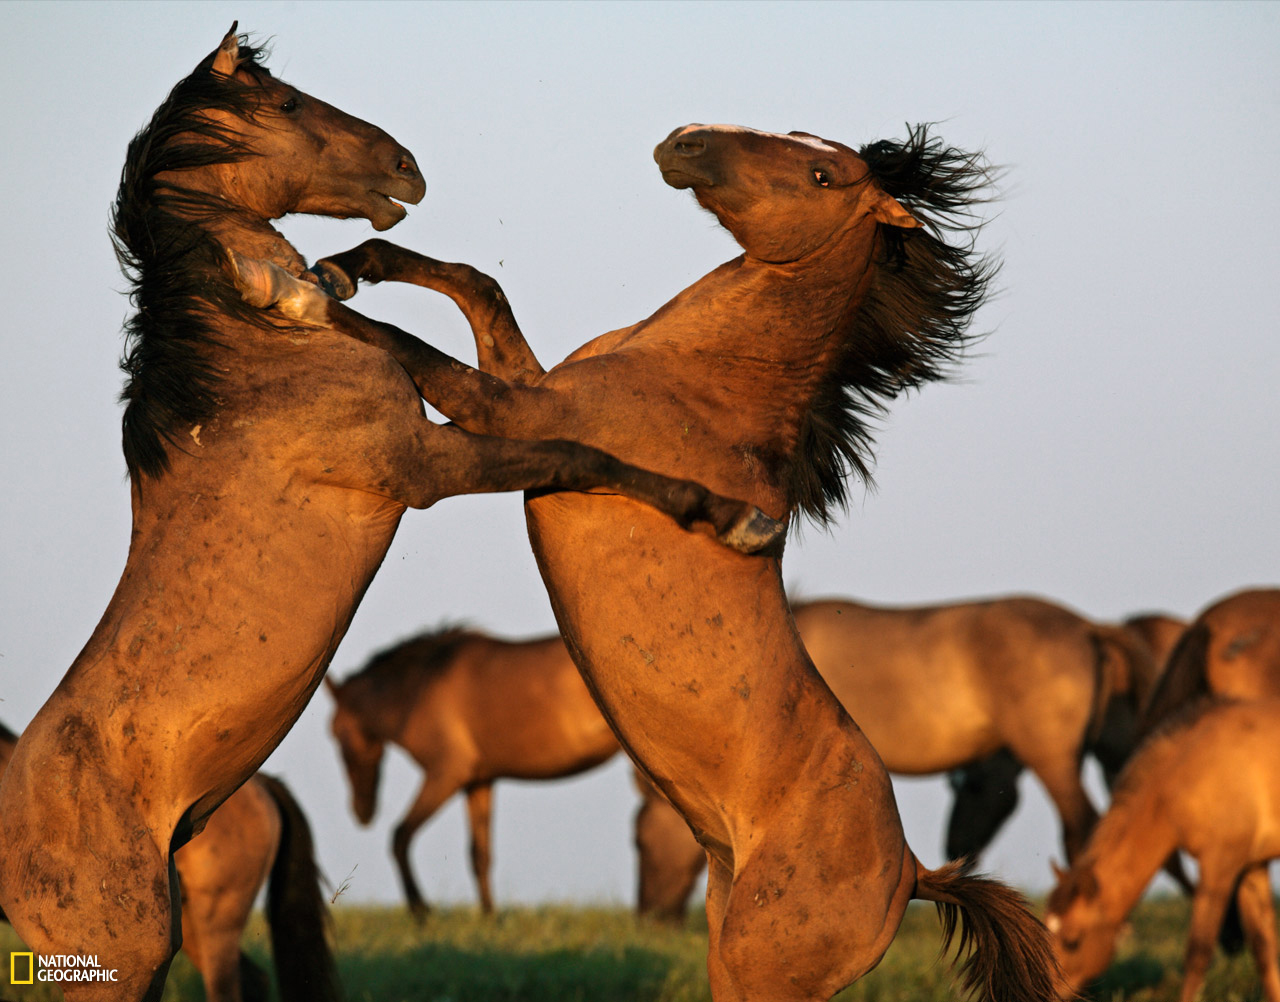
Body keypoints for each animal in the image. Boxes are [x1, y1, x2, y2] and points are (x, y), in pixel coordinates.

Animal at [325, 621, 614, 921]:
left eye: (333, 733)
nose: (362, 813)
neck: (423, 685)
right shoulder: (479, 782)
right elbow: (480, 855)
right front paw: (490, 918)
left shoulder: (446, 775)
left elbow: (400, 837)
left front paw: (421, 910)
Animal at [1044, 696, 1280, 1002]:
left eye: (1072, 942)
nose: (1043, 991)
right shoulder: (1252, 867)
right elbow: (1264, 948)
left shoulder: (1219, 866)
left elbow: (1198, 953)